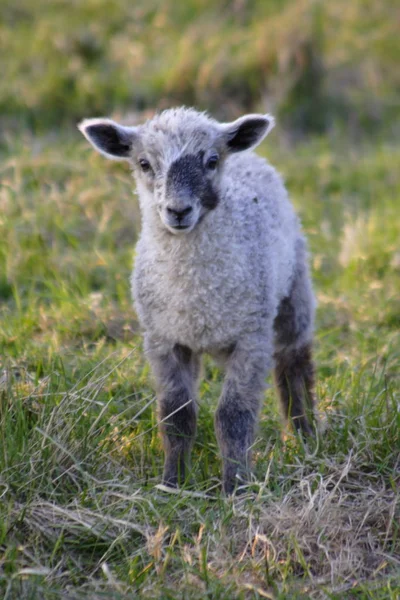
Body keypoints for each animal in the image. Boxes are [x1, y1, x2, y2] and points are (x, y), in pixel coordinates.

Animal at [77, 106, 316, 492]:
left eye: (212, 160)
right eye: (144, 163)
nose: (178, 211)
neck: (197, 294)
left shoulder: (251, 340)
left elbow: (233, 415)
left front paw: (236, 487)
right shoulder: (164, 340)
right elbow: (177, 415)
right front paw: (171, 483)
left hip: (294, 291)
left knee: (294, 365)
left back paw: (306, 436)